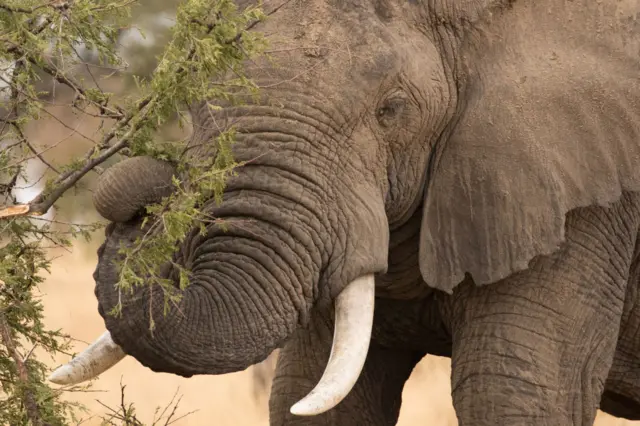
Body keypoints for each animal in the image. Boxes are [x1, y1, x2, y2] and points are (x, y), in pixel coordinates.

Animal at [46, 0, 640, 424]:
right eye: (194, 99)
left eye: (392, 111)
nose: (141, 185)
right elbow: (307, 395)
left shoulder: (583, 193)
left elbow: (513, 391)